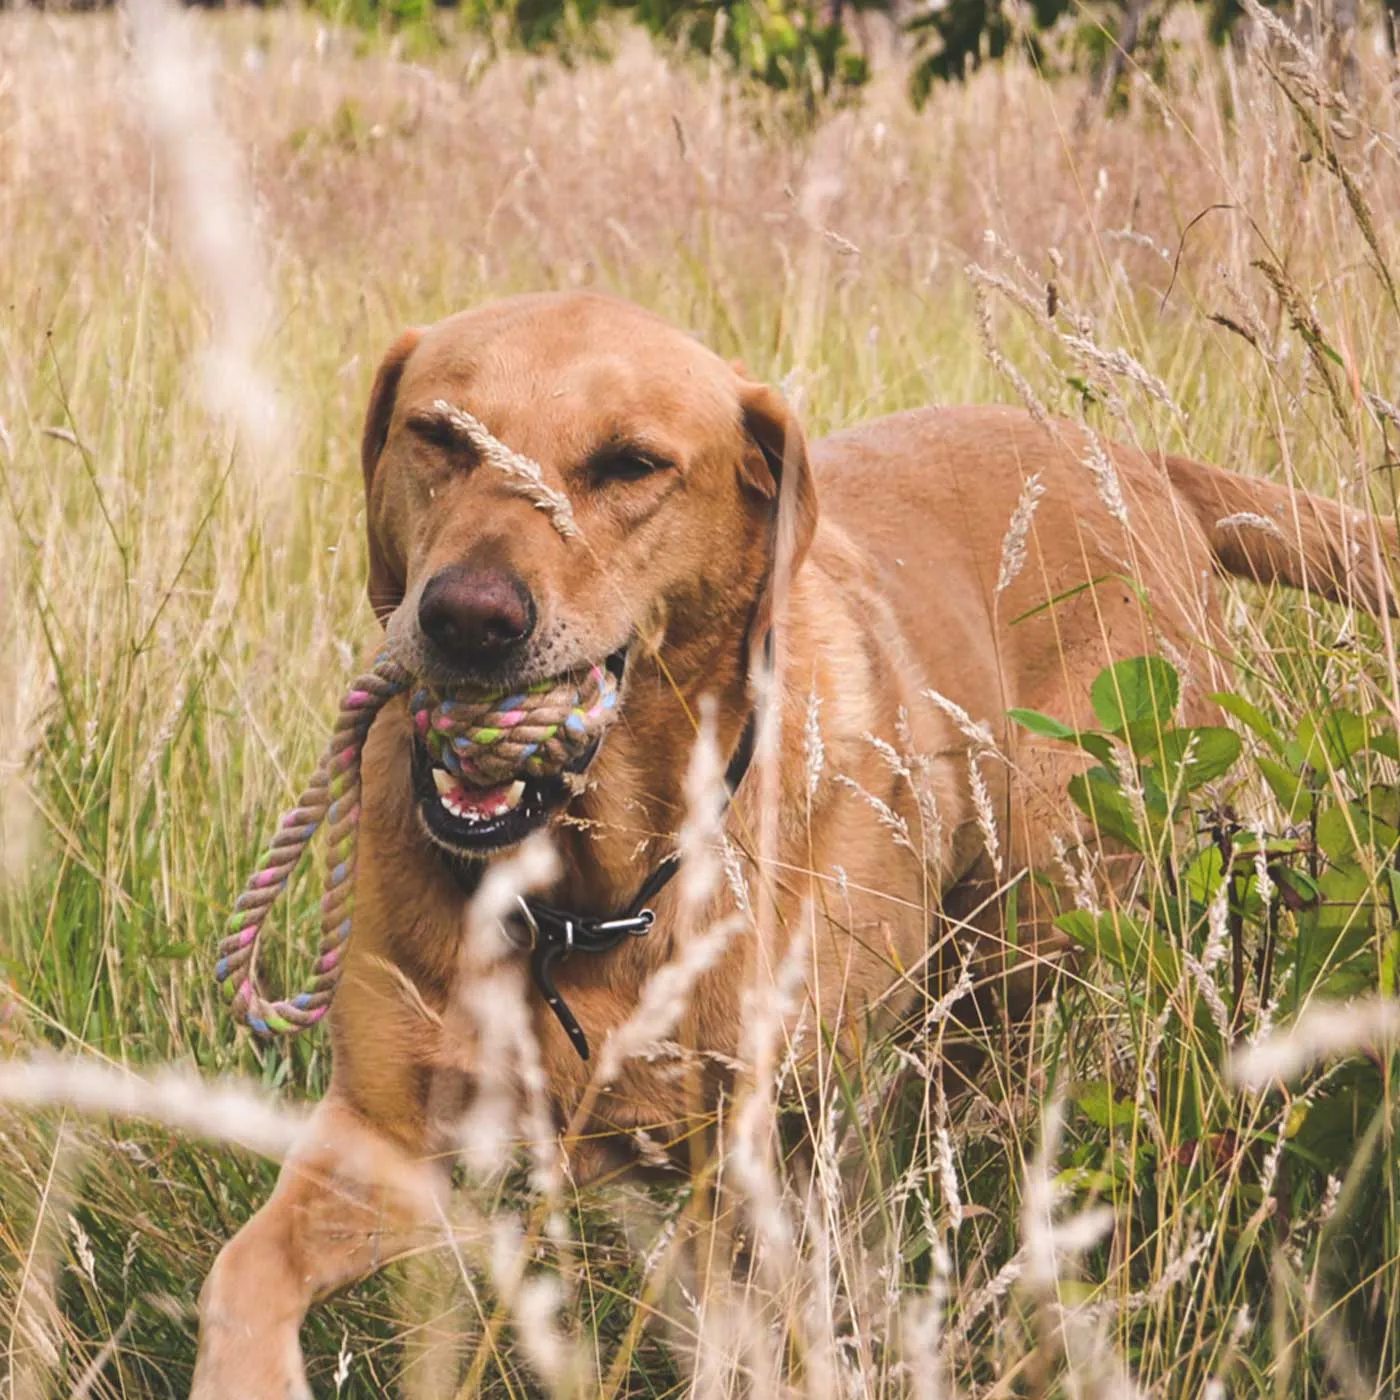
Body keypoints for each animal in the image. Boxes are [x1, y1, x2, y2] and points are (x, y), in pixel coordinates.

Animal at [191, 289, 1383, 1394]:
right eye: (439, 434)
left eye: (630, 464)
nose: (467, 619)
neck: (597, 891)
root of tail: (1139, 465)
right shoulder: (386, 1141)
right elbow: (242, 1276)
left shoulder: (751, 1176)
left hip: (1019, 953)